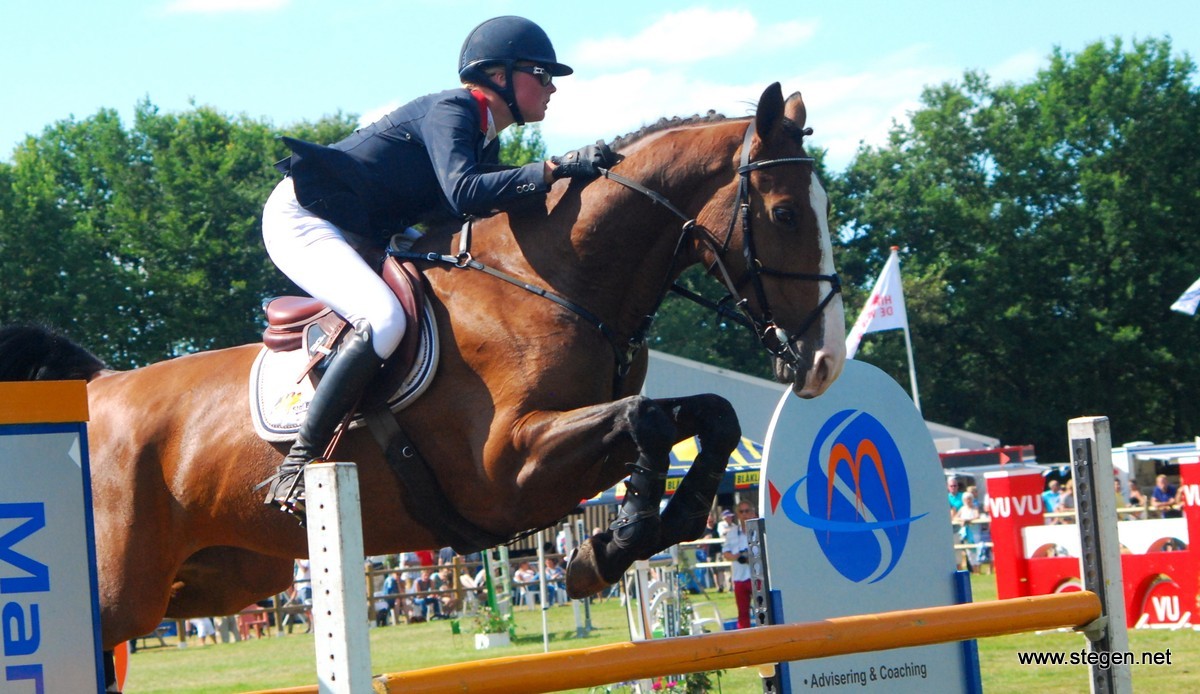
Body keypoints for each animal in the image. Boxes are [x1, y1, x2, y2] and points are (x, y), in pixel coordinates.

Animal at [0, 82, 844, 648]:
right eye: (783, 214)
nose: (827, 361)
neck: (550, 281)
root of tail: (102, 388)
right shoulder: (508, 469)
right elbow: (646, 421)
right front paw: (611, 543)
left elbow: (706, 416)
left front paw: (632, 536)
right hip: (123, 584)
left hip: (224, 577)